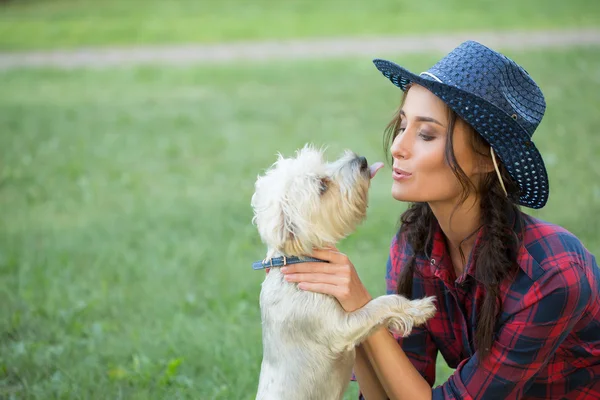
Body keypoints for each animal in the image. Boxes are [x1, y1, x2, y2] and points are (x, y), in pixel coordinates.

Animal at [250, 146, 436, 400]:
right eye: (322, 186)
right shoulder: (339, 329)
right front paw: (418, 308)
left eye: (324, 164)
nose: (362, 160)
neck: (296, 258)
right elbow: (382, 303)